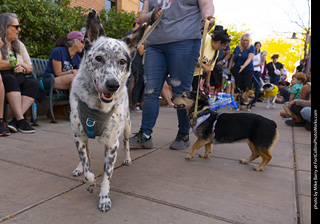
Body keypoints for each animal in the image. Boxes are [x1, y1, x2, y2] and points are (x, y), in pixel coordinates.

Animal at [70, 9, 147, 212]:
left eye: (122, 61)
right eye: (98, 58)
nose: (113, 85)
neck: (96, 105)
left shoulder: (112, 144)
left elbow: (107, 176)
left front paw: (104, 197)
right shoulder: (79, 135)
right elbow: (88, 169)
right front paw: (89, 182)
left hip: (127, 126)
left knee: (127, 142)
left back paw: (127, 158)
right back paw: (79, 167)